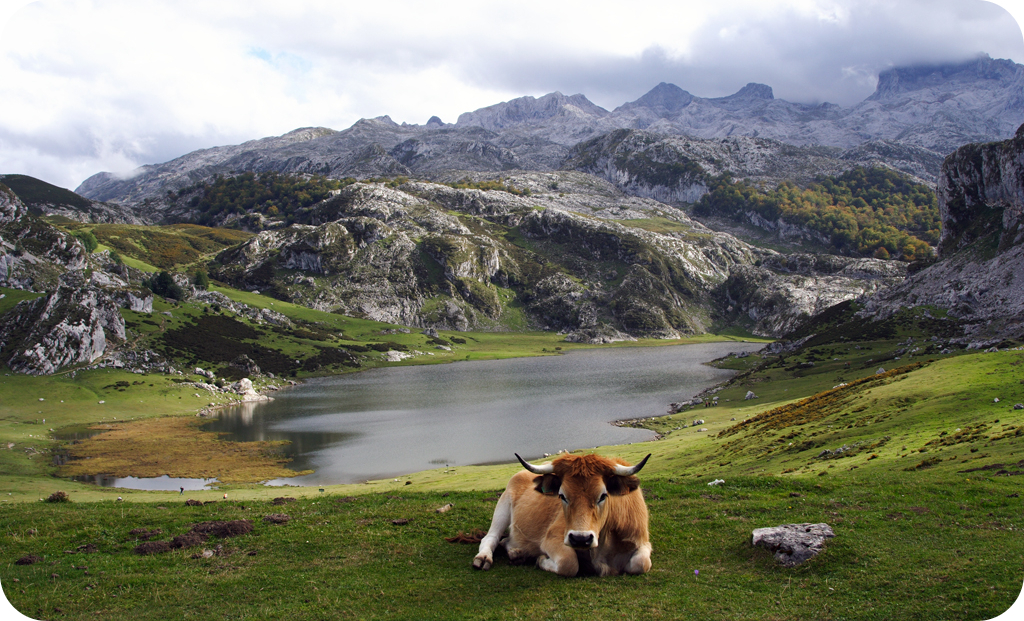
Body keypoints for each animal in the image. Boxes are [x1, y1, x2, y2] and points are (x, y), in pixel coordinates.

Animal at [473, 452, 651, 577]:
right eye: (562, 495)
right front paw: (541, 560)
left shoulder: (643, 540)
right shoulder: (552, 537)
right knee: (491, 537)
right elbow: (569, 563)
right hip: (502, 506)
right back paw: (483, 558)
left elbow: (642, 563)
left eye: (603, 495)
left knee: (507, 540)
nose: (581, 539)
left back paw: (517, 553)